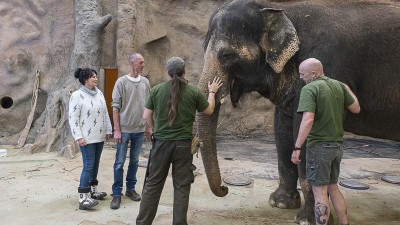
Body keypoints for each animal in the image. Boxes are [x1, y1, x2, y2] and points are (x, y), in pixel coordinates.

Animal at [196, 0, 400, 224]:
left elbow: (304, 129)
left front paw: (306, 220)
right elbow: (282, 128)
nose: (224, 188)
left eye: (226, 55)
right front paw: (280, 203)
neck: (279, 9)